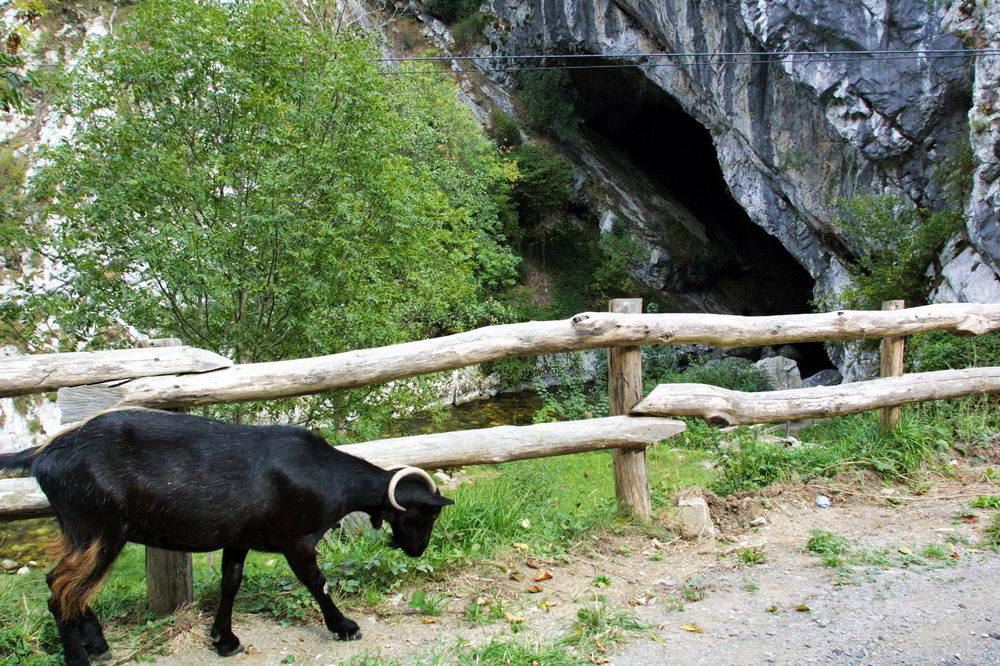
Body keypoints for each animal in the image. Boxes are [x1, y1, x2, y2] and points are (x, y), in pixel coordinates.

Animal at [0, 408, 454, 660]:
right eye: (426, 515)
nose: (417, 550)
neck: (329, 478)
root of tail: (41, 454)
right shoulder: (295, 539)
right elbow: (316, 581)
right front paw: (344, 626)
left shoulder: (239, 537)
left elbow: (230, 582)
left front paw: (224, 638)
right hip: (98, 527)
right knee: (62, 588)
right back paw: (79, 657)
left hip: (88, 532)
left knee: (66, 588)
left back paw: (98, 645)